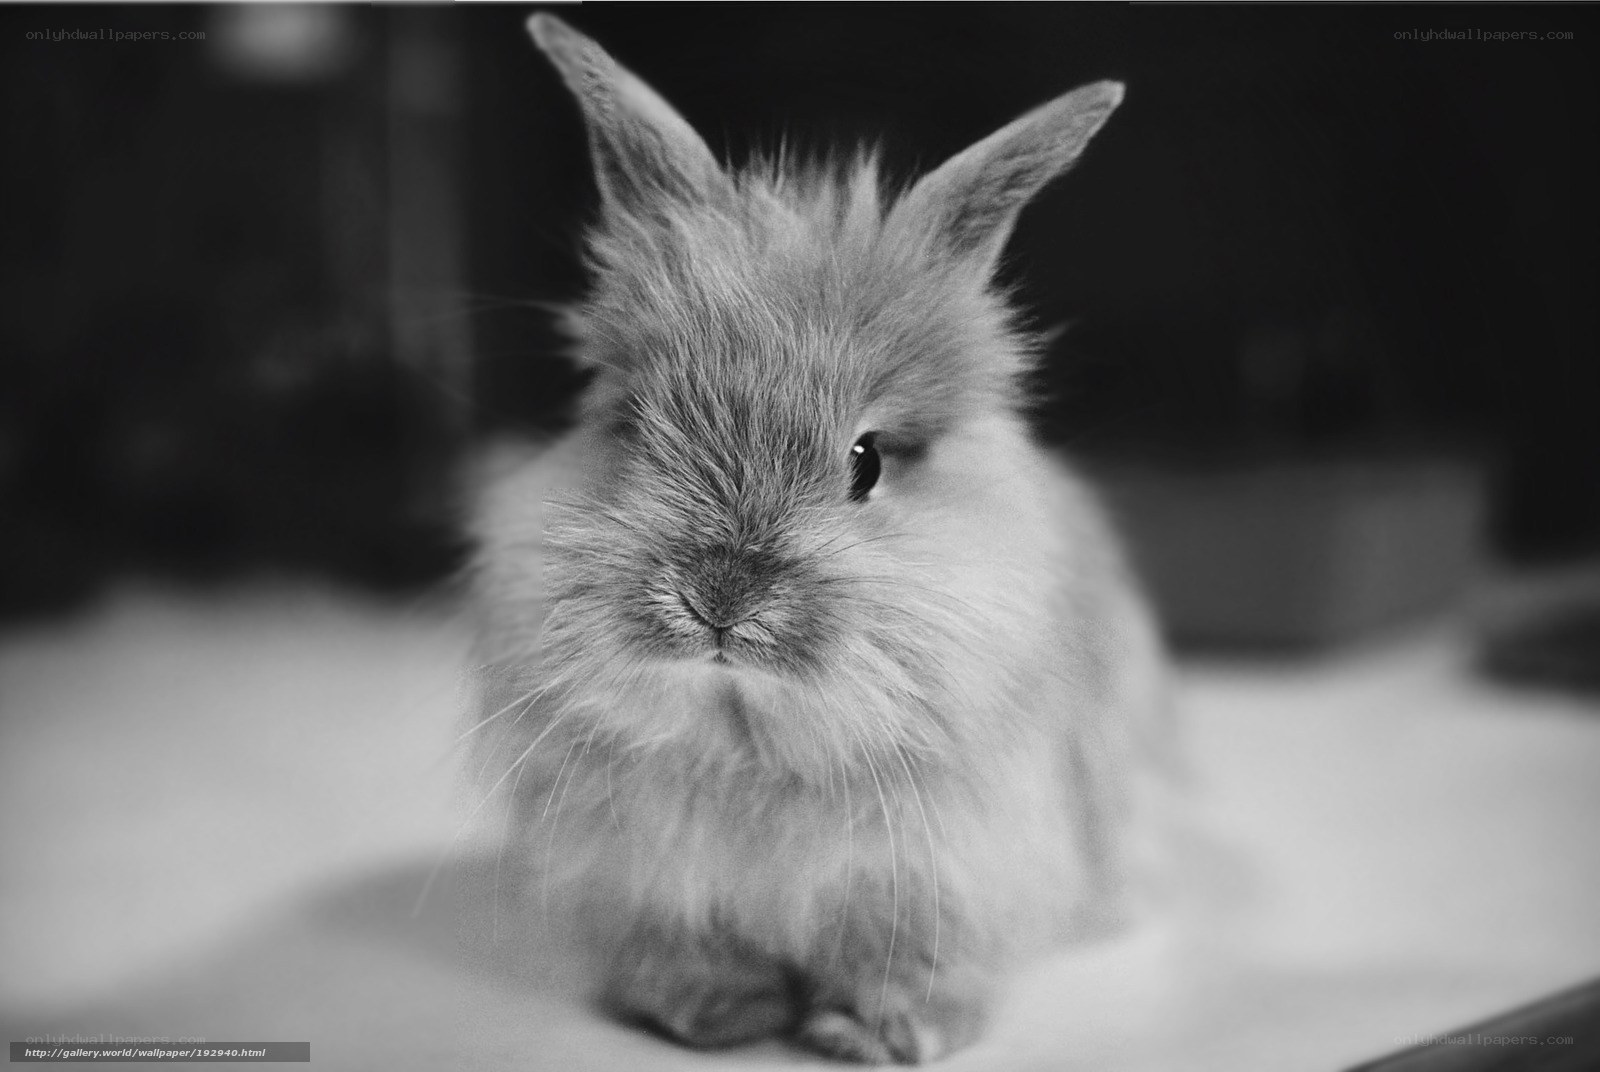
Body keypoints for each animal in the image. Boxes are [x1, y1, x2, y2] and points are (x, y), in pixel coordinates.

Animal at [467, 13, 1172, 1065]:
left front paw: (882, 1037)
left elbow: (908, 961)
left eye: (866, 462)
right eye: (632, 426)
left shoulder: (940, 870)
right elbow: (686, 952)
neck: (753, 732)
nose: (719, 595)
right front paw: (716, 1016)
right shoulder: (650, 881)